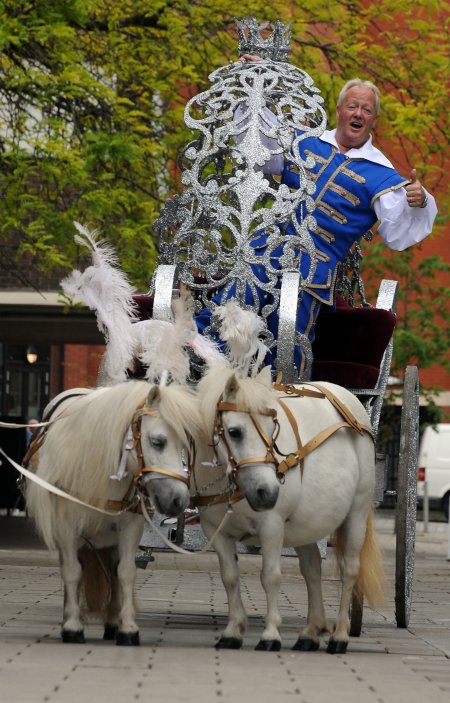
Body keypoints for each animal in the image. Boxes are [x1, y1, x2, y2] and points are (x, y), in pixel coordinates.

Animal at [25, 382, 202, 648]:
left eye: (184, 445)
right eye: (157, 442)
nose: (178, 500)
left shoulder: (129, 528)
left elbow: (125, 573)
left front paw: (128, 630)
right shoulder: (67, 529)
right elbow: (72, 572)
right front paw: (72, 627)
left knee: (112, 571)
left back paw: (112, 623)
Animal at [195, 368, 384, 656]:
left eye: (273, 428)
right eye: (234, 432)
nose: (269, 492)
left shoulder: (272, 526)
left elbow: (271, 576)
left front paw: (271, 634)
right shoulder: (217, 533)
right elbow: (229, 577)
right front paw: (233, 631)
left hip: (357, 513)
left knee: (349, 570)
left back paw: (340, 636)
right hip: (307, 524)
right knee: (312, 569)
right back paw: (310, 633)